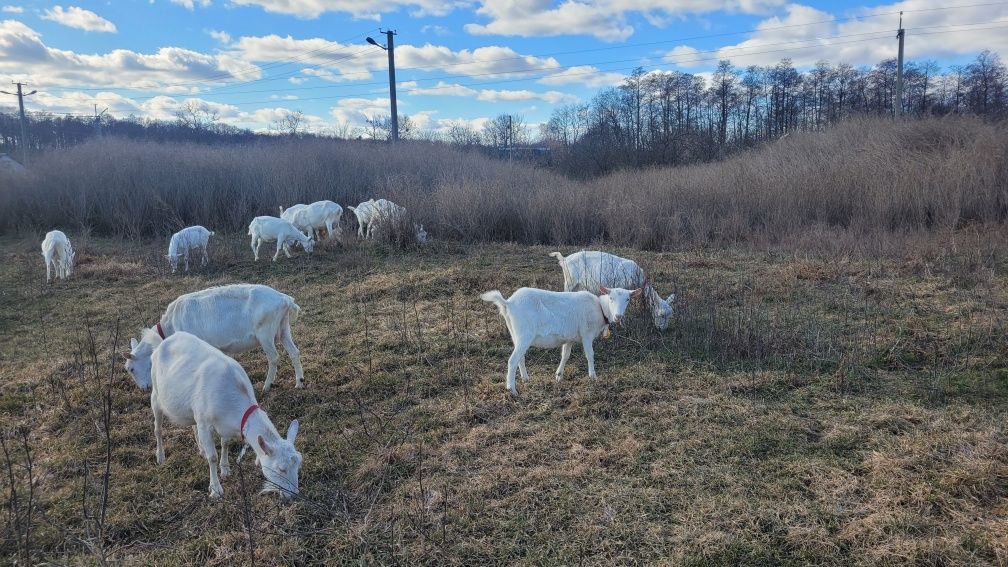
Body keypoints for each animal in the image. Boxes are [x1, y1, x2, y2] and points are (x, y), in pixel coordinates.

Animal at [124, 282, 302, 393]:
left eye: (131, 368)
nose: (144, 388)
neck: (170, 326)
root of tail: (285, 299)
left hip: (265, 333)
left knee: (274, 357)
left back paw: (267, 386)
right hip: (283, 328)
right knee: (294, 352)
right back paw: (299, 382)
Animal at [137, 328, 302, 496]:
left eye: (298, 463)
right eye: (281, 469)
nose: (294, 494)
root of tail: (161, 342)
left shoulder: (224, 424)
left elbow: (225, 443)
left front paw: (225, 469)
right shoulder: (205, 423)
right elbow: (213, 457)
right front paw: (215, 489)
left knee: (193, 425)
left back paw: (201, 449)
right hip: (156, 396)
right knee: (158, 428)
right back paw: (160, 456)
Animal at [479, 284, 637, 391]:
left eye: (628, 299)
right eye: (611, 298)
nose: (618, 316)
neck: (600, 309)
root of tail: (508, 303)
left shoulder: (570, 338)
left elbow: (565, 355)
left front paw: (559, 376)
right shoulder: (586, 333)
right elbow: (590, 355)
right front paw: (593, 376)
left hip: (515, 333)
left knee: (520, 358)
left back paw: (525, 379)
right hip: (524, 334)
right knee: (512, 360)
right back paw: (511, 389)